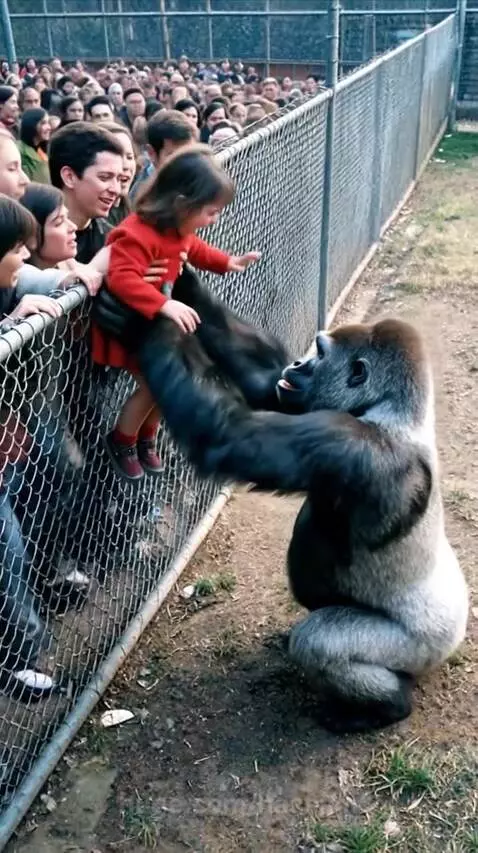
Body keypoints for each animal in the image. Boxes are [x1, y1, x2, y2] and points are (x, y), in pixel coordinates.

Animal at [136, 314, 469, 732]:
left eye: (321, 355)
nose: (297, 364)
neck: (396, 413)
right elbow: (264, 382)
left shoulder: (347, 441)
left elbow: (229, 436)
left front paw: (145, 328)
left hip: (423, 646)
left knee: (318, 642)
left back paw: (387, 707)